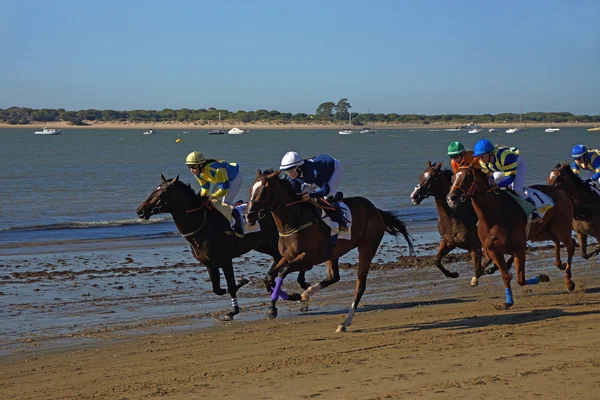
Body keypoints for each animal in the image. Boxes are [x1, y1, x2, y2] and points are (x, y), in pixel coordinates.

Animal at [246, 169, 414, 332]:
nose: (248, 216)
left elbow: (283, 271)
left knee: (359, 287)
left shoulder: (308, 259)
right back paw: (308, 293)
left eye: (264, 190)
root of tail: (376, 211)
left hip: (367, 248)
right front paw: (282, 302)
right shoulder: (288, 256)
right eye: (250, 189)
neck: (294, 222)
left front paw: (280, 303)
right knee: (334, 276)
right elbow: (269, 277)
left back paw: (345, 322)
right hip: (332, 253)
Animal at [448, 162, 576, 310]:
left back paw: (569, 281)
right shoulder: (494, 250)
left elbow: (521, 280)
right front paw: (507, 302)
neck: (494, 216)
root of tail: (560, 192)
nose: (451, 198)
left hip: (561, 228)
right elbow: (505, 276)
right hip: (542, 232)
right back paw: (560, 264)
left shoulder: (519, 249)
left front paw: (543, 277)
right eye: (452, 178)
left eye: (467, 177)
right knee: (556, 240)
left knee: (570, 245)